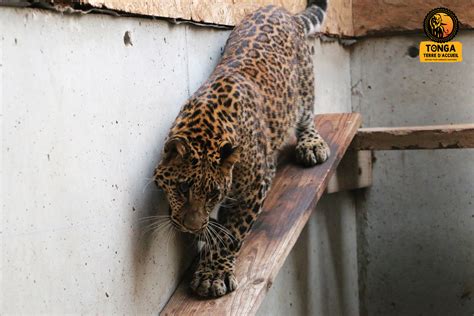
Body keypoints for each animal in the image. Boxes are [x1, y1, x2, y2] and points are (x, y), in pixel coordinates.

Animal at [154, 0, 332, 298]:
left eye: (213, 194)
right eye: (181, 188)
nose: (190, 227)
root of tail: (282, 10)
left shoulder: (255, 186)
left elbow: (233, 232)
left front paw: (213, 274)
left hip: (305, 82)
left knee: (307, 112)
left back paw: (311, 144)